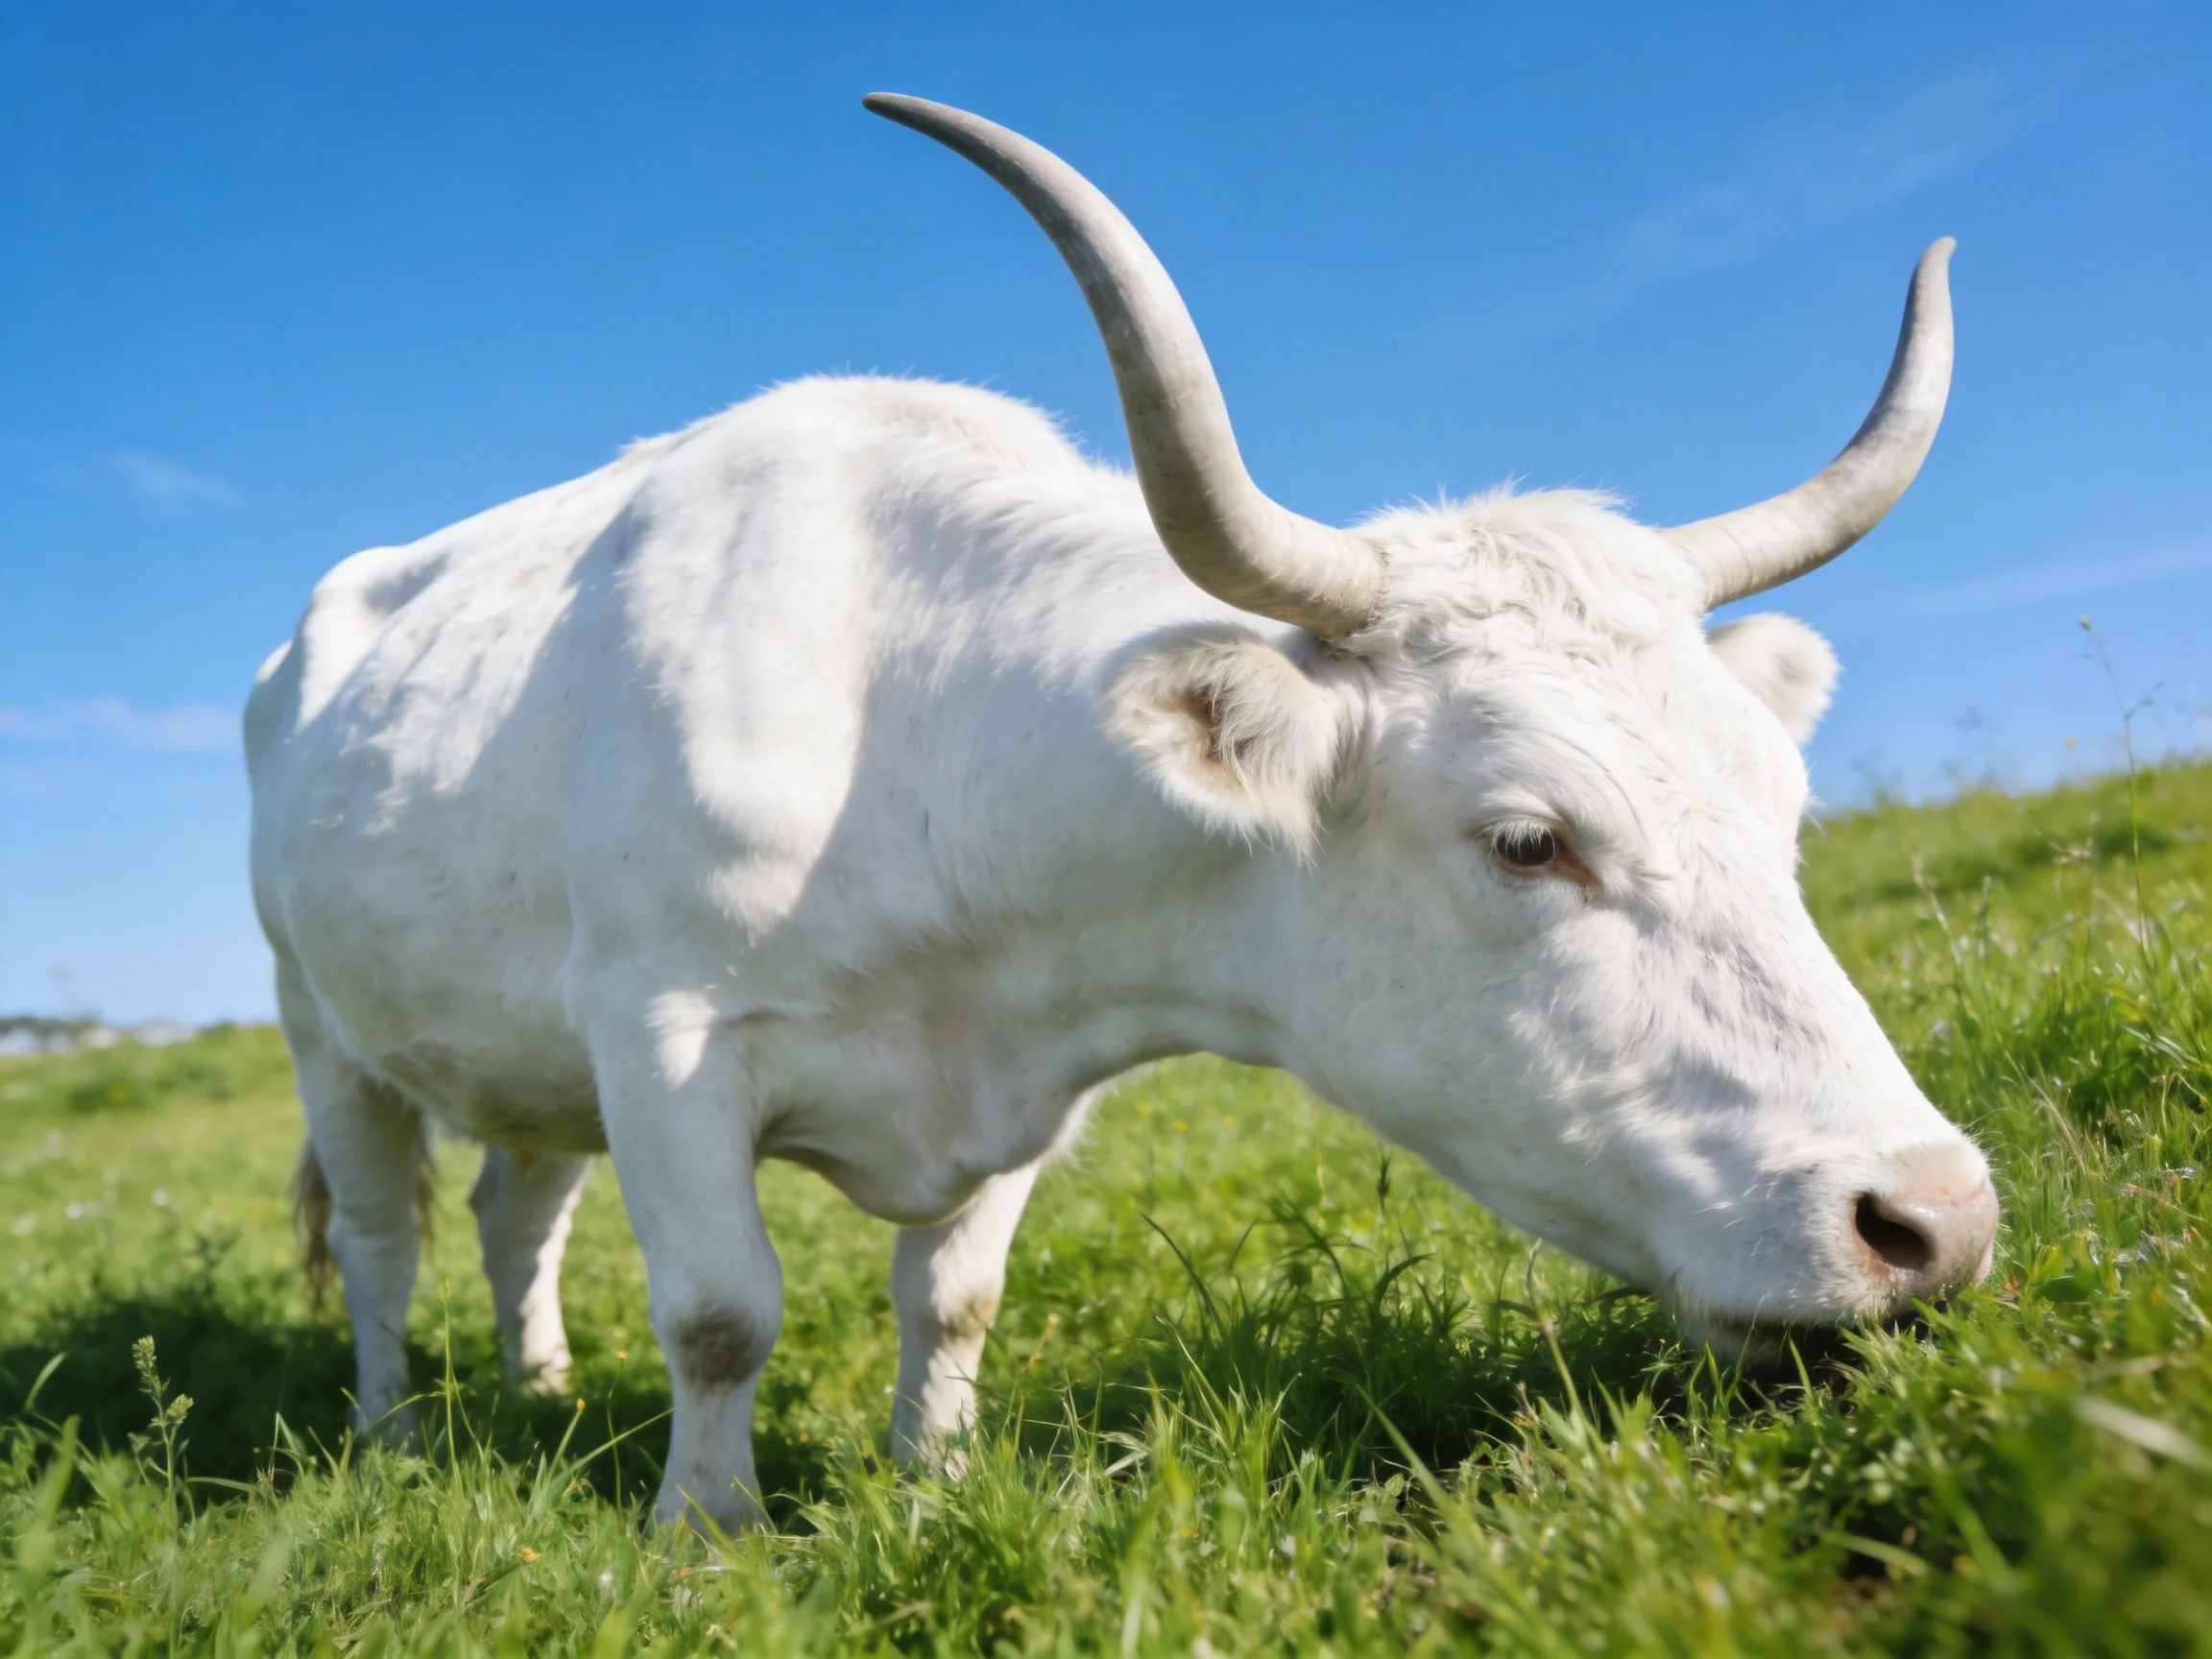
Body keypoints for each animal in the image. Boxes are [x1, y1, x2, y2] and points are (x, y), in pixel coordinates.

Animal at [247, 95, 1999, 1531]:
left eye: (1781, 808)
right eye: (1525, 838)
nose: (1931, 1219)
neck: (915, 735)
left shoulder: (1015, 1087)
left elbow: (950, 1300)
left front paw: (931, 1490)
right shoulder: (664, 1033)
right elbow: (721, 1309)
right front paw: (705, 1534)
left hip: (521, 1054)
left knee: (512, 1210)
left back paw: (536, 1392)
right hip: (323, 1027)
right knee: (383, 1234)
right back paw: (397, 1435)